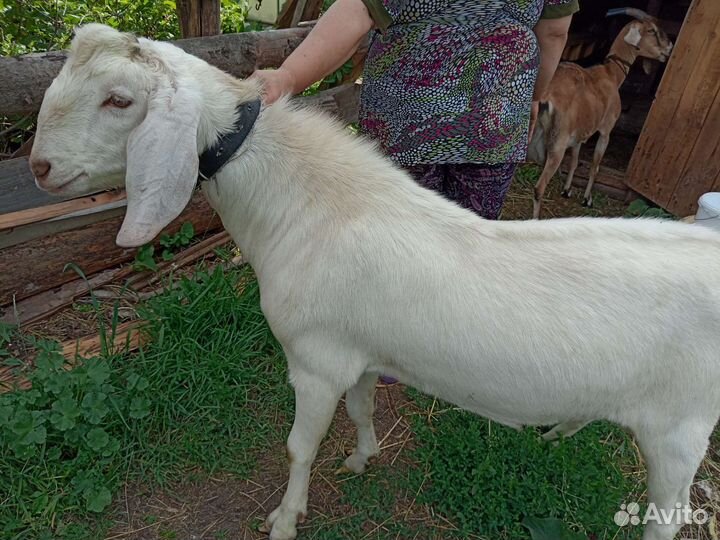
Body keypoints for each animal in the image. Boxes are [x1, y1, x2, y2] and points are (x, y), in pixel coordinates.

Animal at [528, 9, 673, 218]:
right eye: (652, 30)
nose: (669, 48)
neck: (611, 74)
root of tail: (545, 98)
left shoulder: (580, 134)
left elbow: (575, 161)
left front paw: (567, 190)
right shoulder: (605, 131)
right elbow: (594, 167)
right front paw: (587, 199)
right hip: (557, 145)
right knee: (538, 188)